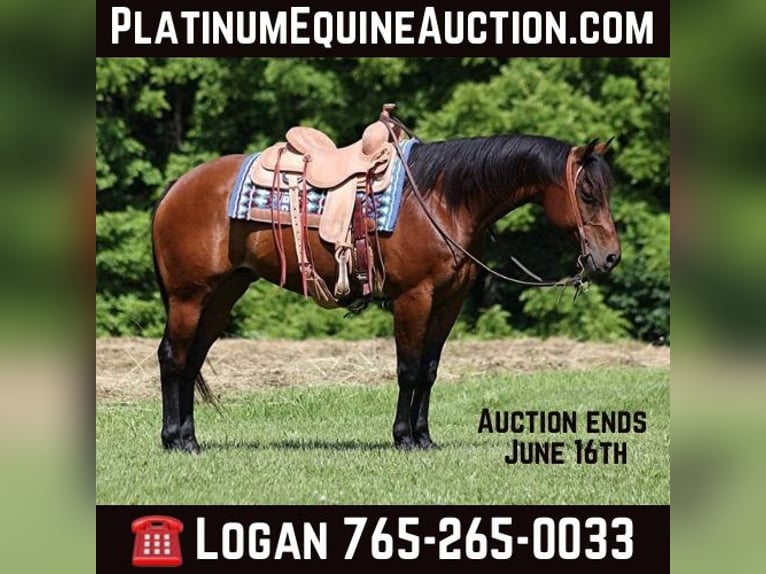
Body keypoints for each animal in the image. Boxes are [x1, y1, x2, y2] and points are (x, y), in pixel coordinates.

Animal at [151, 132, 621, 454]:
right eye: (586, 192)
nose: (610, 256)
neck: (443, 200)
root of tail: (176, 187)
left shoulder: (448, 302)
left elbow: (429, 371)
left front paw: (424, 437)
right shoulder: (415, 298)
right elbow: (408, 370)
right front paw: (403, 438)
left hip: (221, 295)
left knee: (192, 361)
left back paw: (189, 438)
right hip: (189, 296)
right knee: (174, 358)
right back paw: (175, 440)